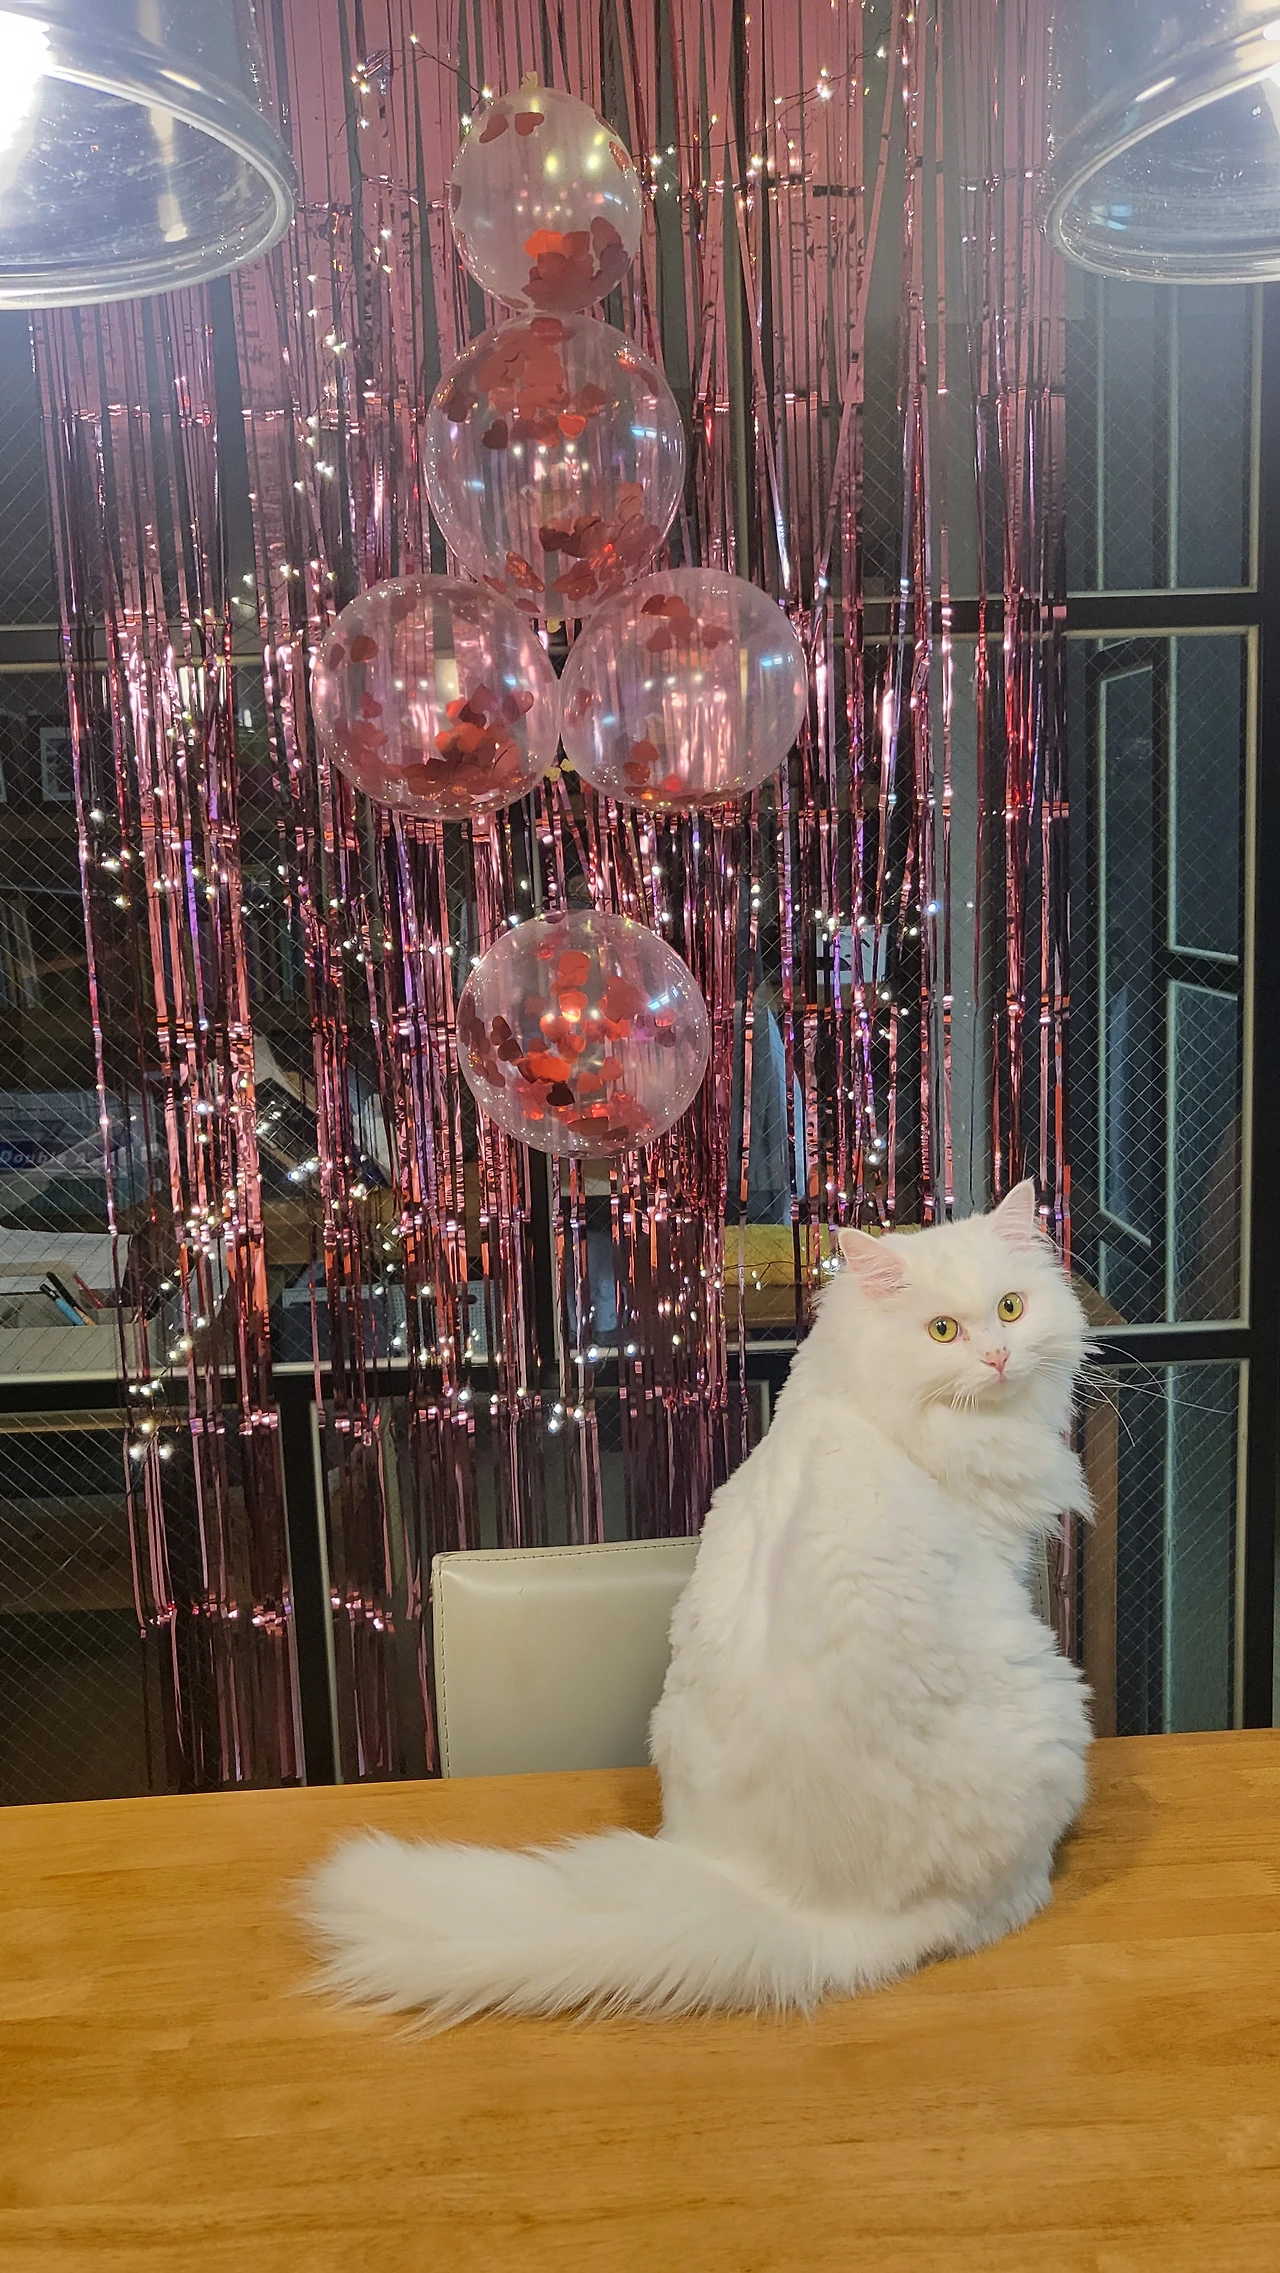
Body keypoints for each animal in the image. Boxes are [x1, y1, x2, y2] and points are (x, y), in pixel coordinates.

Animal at [303, 1179, 1093, 2026]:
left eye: (1011, 1307)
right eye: (943, 1330)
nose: (999, 1356)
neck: (874, 1397)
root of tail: (817, 1908)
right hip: (1049, 1701)